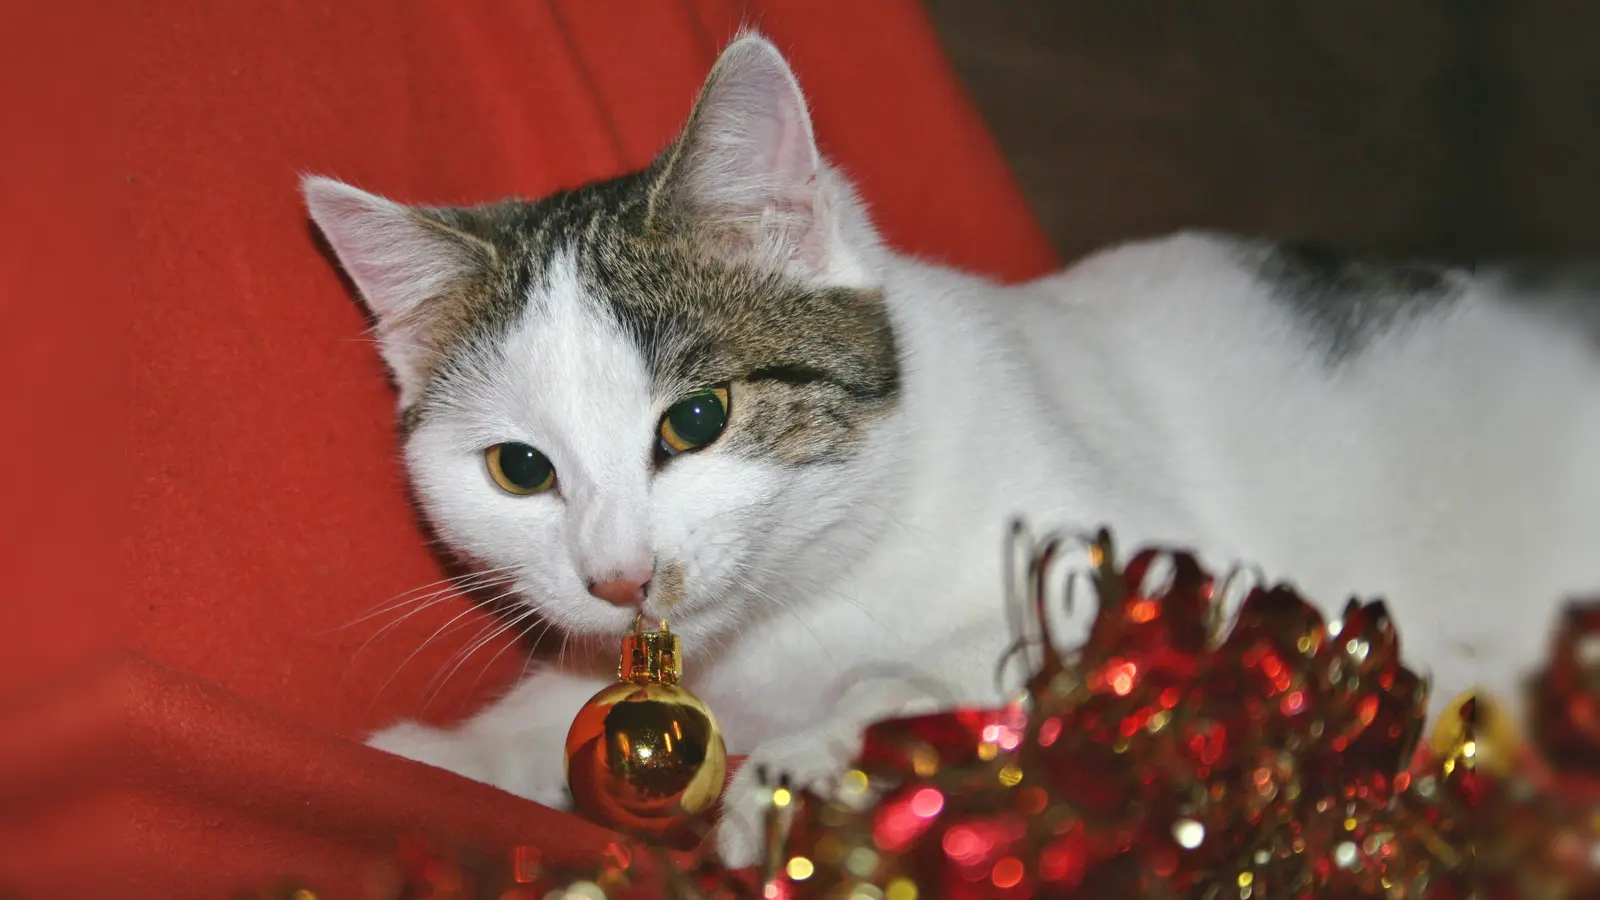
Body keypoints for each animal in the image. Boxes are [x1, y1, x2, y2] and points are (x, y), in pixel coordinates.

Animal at [302, 33, 1600, 864]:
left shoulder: (1191, 586)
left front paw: (811, 760)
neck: (798, 597)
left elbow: (934, 659)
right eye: (519, 470)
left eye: (696, 419)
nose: (621, 579)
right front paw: (452, 756)